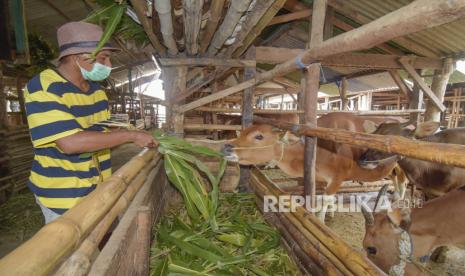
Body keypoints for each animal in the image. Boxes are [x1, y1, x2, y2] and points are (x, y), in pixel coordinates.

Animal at [223, 112, 400, 220]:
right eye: (242, 132)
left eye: (259, 136)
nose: (227, 147)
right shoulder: (321, 179)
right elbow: (325, 198)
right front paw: (331, 212)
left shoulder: (338, 177)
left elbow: (324, 200)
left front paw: (321, 220)